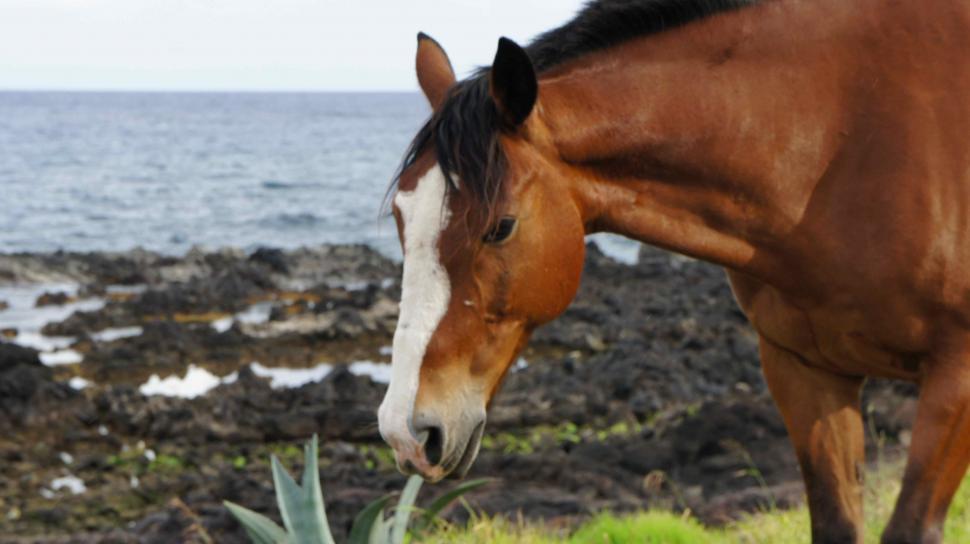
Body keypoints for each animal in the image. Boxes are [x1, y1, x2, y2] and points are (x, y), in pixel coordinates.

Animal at [375, 1, 970, 542]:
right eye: (402, 217)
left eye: (501, 226)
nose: (407, 430)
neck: (847, 138)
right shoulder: (804, 369)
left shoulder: (955, 377)